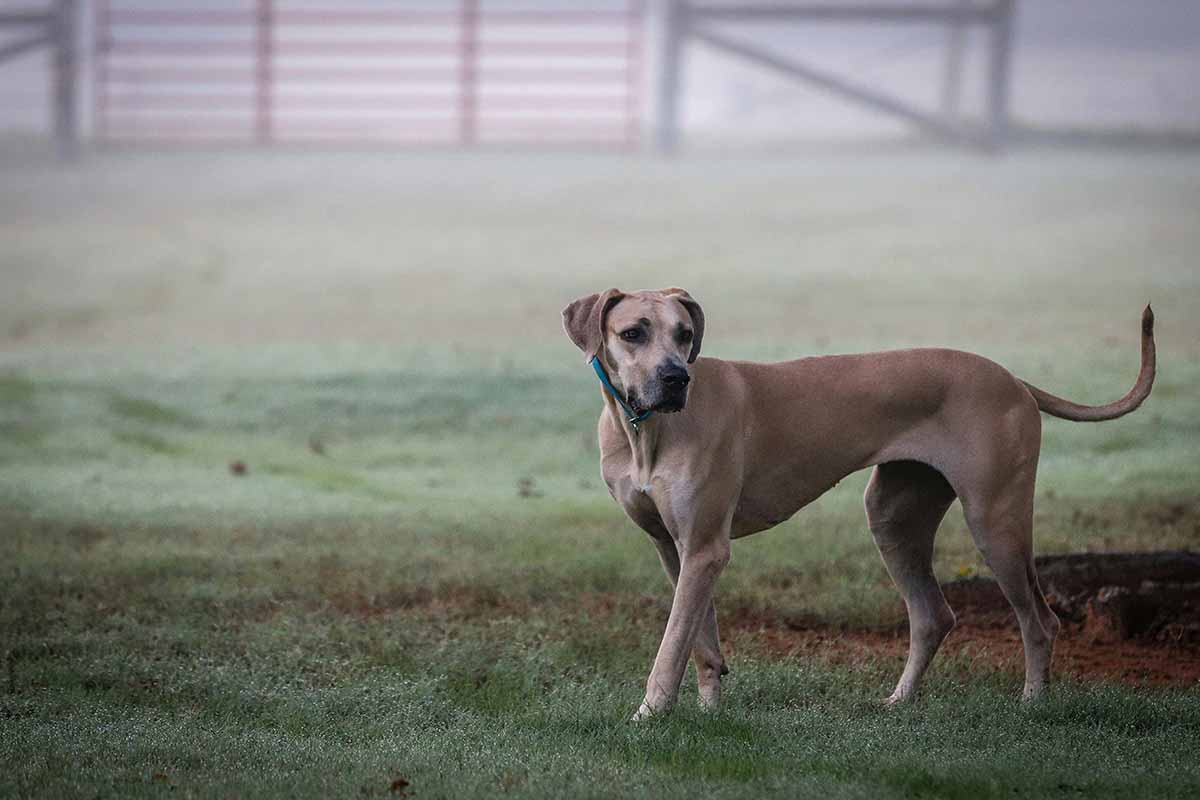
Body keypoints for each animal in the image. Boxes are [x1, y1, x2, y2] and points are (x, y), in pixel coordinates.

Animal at [561, 287, 1152, 719]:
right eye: (633, 333)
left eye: (684, 334)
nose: (676, 377)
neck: (644, 430)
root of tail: (1012, 378)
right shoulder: (676, 548)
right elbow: (698, 639)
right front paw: (706, 712)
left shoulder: (706, 546)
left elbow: (670, 646)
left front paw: (648, 715)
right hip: (893, 516)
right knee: (932, 615)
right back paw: (899, 701)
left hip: (995, 520)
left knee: (1040, 620)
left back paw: (1032, 704)